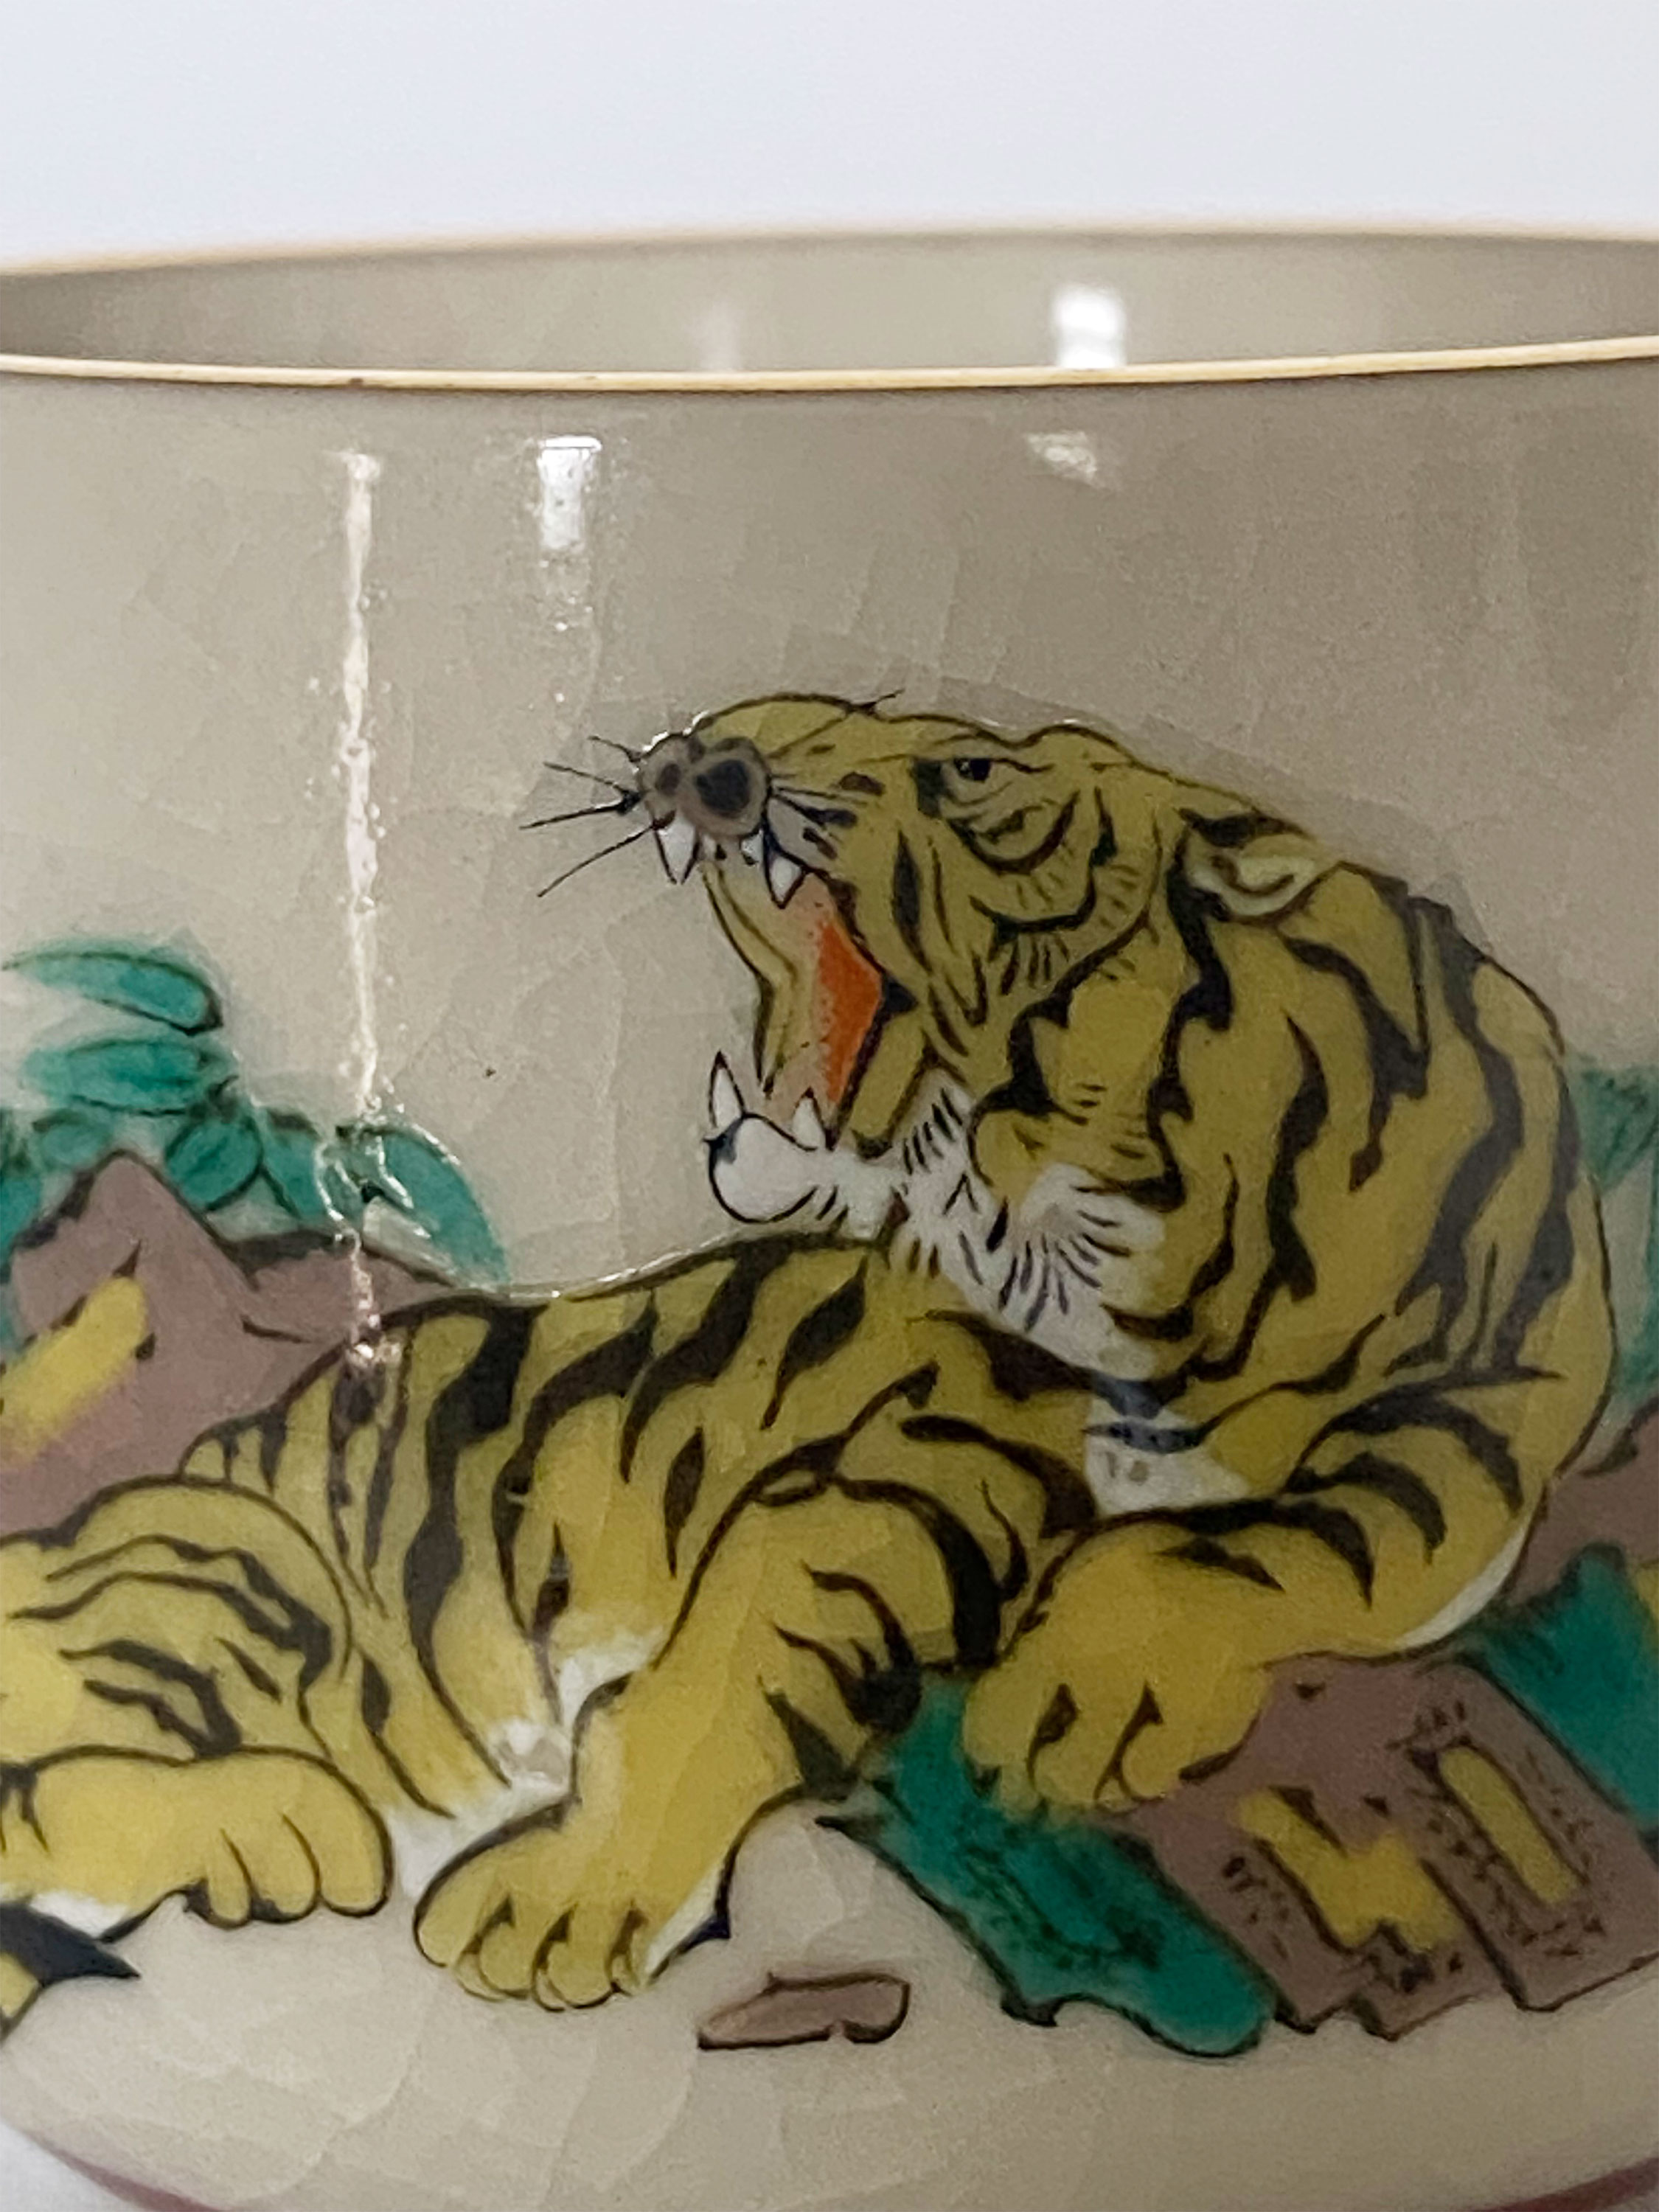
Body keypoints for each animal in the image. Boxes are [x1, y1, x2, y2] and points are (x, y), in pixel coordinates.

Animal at [0, 693, 1614, 2023]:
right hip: (226, 1574)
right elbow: (733, 1651)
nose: (690, 760)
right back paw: (274, 1823)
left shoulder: (1481, 1427)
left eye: (972, 770)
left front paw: (1092, 1684)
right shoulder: (933, 1443)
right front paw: (570, 1895)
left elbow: (1301, 1541)